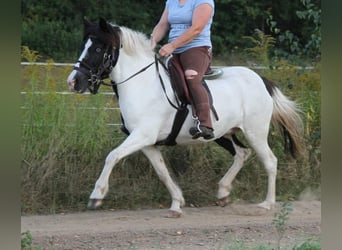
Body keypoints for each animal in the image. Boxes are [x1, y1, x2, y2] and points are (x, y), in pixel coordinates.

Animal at [68, 17, 304, 217]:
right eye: (83, 46)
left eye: (98, 48)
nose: (73, 82)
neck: (142, 84)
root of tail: (260, 79)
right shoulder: (147, 142)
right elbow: (162, 171)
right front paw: (177, 203)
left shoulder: (142, 136)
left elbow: (113, 156)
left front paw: (97, 196)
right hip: (222, 133)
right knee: (241, 153)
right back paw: (223, 192)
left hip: (256, 132)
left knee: (270, 161)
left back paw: (267, 203)